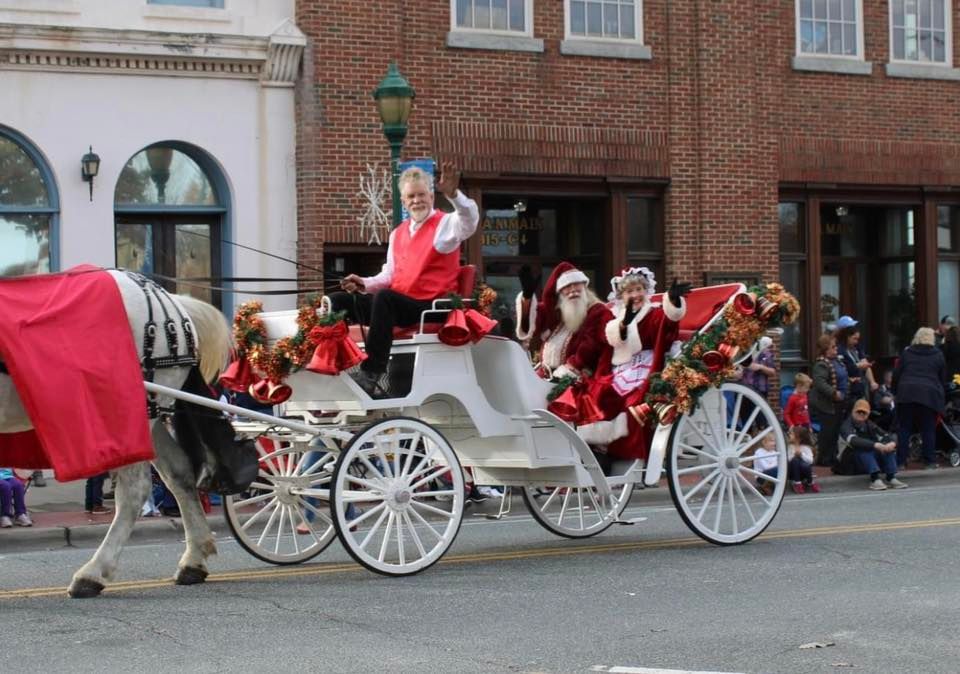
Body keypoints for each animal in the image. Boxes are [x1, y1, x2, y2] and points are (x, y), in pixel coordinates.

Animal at [0, 268, 234, 592]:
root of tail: (170, 301)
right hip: (149, 415)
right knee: (179, 475)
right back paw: (193, 559)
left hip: (130, 418)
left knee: (135, 491)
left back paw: (93, 572)